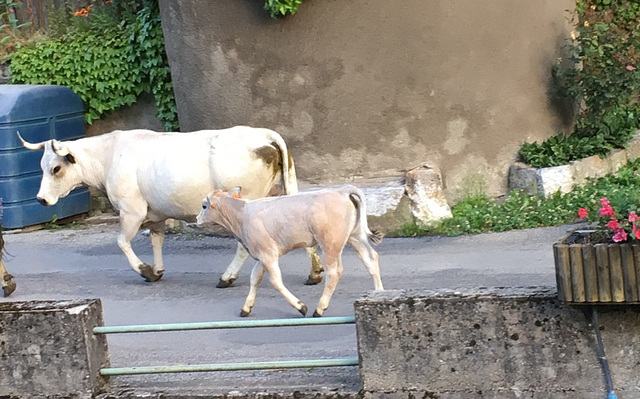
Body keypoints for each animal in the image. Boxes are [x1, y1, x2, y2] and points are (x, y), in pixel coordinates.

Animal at [18, 126, 324, 286]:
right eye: (42, 166)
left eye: (56, 168)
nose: (41, 199)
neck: (109, 156)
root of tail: (262, 134)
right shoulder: (156, 214)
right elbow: (157, 239)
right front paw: (157, 270)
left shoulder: (132, 210)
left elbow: (122, 242)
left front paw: (144, 270)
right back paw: (315, 272)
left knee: (243, 245)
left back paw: (227, 276)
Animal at [195, 185, 384, 318]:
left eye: (204, 206)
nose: (196, 219)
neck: (241, 214)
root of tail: (341, 190)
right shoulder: (261, 256)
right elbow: (254, 279)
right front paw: (246, 308)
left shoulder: (268, 255)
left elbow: (276, 281)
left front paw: (300, 306)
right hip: (355, 236)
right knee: (371, 259)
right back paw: (379, 294)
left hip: (330, 243)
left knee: (334, 272)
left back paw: (319, 309)